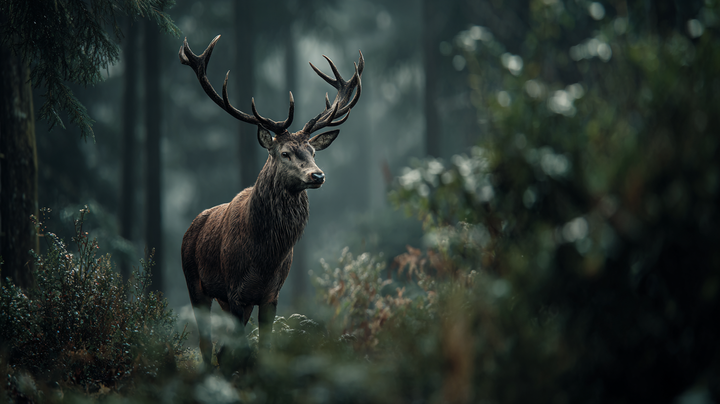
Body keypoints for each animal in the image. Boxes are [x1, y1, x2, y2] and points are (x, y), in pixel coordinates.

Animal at [178, 35, 363, 369]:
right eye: (285, 153)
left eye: (312, 152)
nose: (318, 175)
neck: (264, 257)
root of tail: (192, 227)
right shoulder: (234, 290)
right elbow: (234, 352)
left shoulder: (270, 295)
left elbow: (263, 349)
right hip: (194, 282)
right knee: (206, 344)